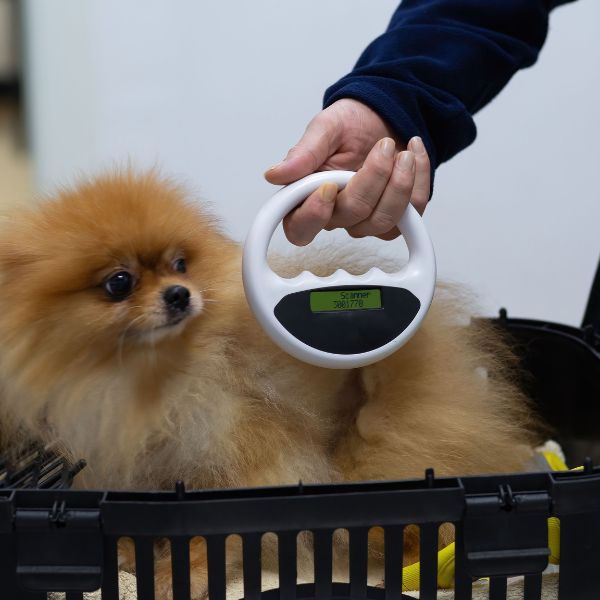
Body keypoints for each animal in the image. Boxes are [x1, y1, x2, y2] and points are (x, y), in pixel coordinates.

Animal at [0, 171, 536, 596]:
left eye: (180, 265)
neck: (152, 378)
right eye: (119, 282)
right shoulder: (130, 460)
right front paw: (134, 553)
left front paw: (181, 573)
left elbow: (211, 530)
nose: (179, 294)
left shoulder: (243, 454)